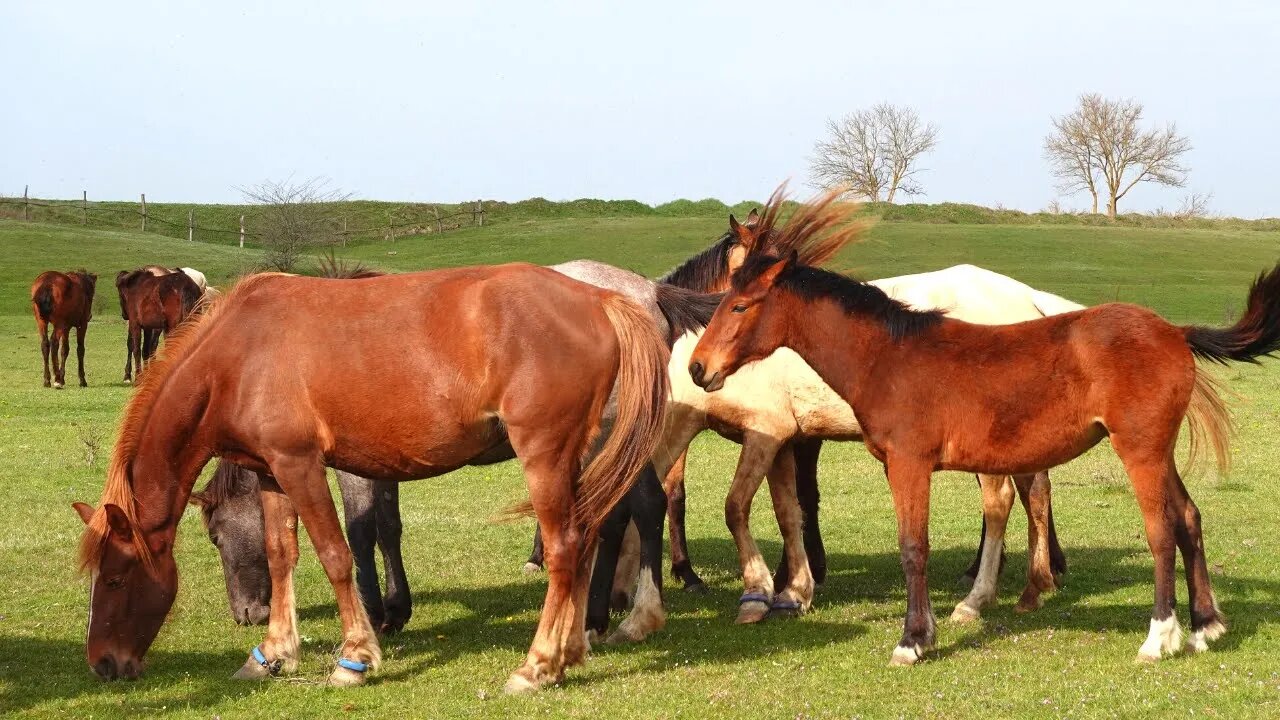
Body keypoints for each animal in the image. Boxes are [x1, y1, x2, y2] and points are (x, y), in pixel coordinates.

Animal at [70, 265, 670, 691]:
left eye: (116, 579)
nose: (102, 664)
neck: (238, 356)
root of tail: (601, 299)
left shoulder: (301, 464)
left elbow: (337, 553)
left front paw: (354, 657)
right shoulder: (271, 473)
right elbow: (281, 555)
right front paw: (273, 653)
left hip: (545, 454)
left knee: (565, 546)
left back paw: (538, 664)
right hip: (583, 456)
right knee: (588, 537)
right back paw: (571, 651)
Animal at [696, 189, 1280, 661]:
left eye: (740, 305)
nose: (699, 368)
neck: (889, 356)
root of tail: (1174, 332)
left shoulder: (909, 465)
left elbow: (913, 548)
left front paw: (912, 641)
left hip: (1139, 450)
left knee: (1161, 531)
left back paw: (1160, 637)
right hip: (1160, 451)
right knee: (1188, 518)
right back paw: (1206, 627)